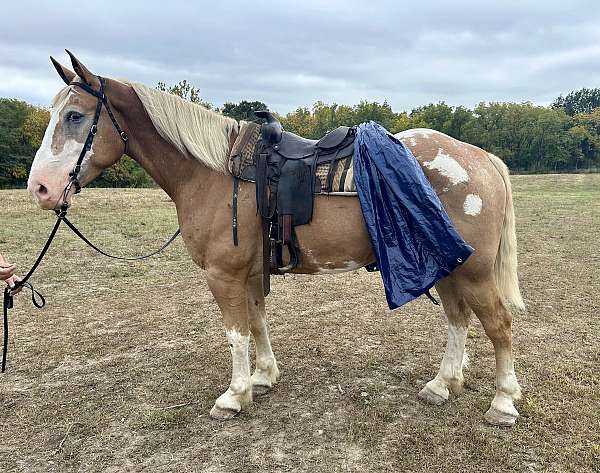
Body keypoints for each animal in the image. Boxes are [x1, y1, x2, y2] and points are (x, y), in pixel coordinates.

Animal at [28, 53, 524, 426]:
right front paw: (264, 377)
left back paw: (502, 402)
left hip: (473, 270)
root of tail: (481, 158)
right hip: (447, 265)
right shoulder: (248, 273)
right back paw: (443, 385)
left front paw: (234, 395)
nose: (41, 189)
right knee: (458, 320)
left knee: (498, 324)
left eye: (74, 116)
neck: (214, 173)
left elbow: (234, 332)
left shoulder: (223, 275)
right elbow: (256, 323)